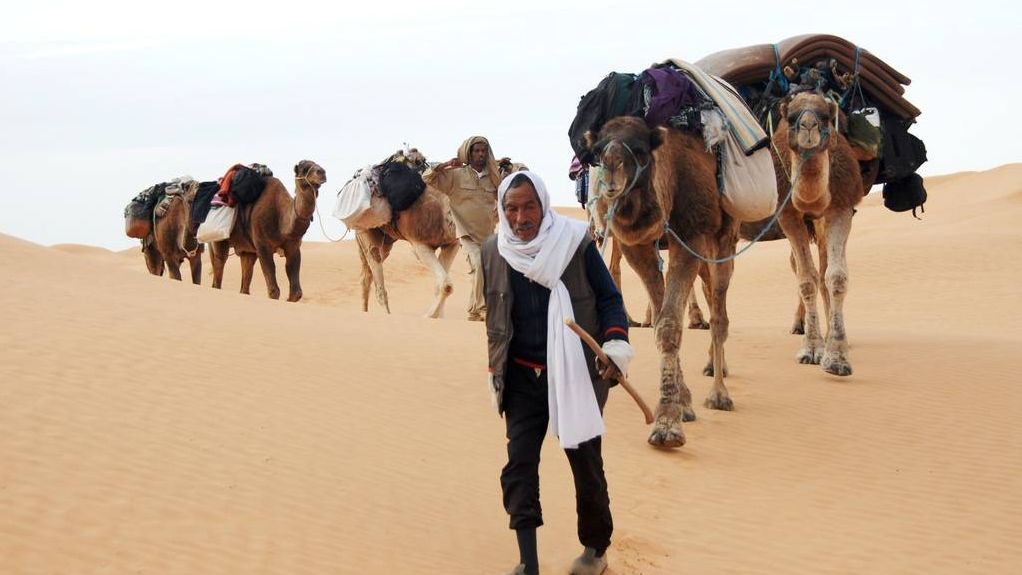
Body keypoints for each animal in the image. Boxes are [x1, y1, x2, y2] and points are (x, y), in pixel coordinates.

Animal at [211, 158, 327, 302]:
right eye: (304, 168)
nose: (322, 172)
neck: (282, 221)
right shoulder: (262, 245)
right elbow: (273, 291)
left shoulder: (294, 247)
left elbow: (296, 293)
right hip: (220, 237)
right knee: (219, 267)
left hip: (247, 250)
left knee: (245, 282)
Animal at [355, 148, 459, 318]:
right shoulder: (419, 244)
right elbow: (445, 285)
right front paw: (428, 316)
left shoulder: (451, 243)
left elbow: (441, 284)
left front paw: (437, 317)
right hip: (365, 230)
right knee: (376, 277)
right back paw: (385, 315)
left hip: (386, 241)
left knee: (367, 276)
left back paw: (365, 312)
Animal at [768, 92, 866, 375]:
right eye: (791, 118)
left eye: (825, 116)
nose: (808, 125)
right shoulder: (787, 213)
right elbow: (806, 279)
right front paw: (811, 349)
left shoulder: (841, 206)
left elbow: (835, 276)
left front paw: (836, 356)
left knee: (823, 269)